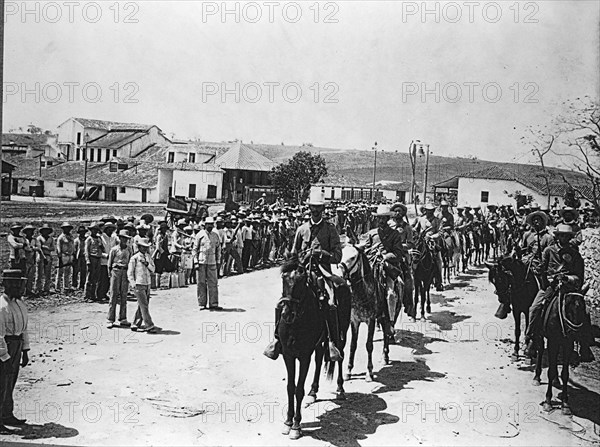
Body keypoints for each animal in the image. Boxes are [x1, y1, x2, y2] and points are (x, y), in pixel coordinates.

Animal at [278, 254, 352, 440]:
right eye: (283, 279)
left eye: (301, 281)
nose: (287, 314)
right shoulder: (288, 355)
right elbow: (290, 388)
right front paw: (287, 422)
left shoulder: (304, 356)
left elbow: (298, 390)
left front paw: (296, 426)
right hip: (319, 343)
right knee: (319, 359)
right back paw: (313, 392)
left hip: (342, 332)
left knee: (340, 356)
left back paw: (340, 389)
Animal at [340, 245, 400, 382]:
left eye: (353, 257)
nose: (339, 274)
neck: (363, 292)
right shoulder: (354, 321)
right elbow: (353, 345)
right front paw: (348, 371)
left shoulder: (371, 321)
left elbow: (369, 345)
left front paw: (369, 372)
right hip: (381, 318)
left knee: (387, 332)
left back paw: (385, 357)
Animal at [536, 288, 584, 416]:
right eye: (567, 307)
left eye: (583, 308)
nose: (574, 333)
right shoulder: (553, 342)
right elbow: (551, 371)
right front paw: (548, 402)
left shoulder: (568, 345)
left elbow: (565, 374)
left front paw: (565, 404)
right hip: (541, 335)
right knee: (540, 350)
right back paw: (536, 377)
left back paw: (556, 381)